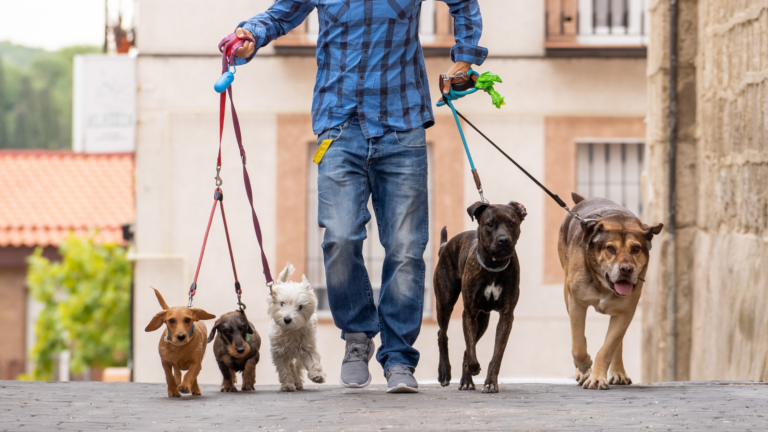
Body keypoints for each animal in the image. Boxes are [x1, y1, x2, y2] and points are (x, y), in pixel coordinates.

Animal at [436, 201, 524, 394]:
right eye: (490, 224)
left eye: (512, 223)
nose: (503, 240)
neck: (494, 266)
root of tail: (445, 245)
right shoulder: (469, 313)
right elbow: (471, 349)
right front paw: (474, 368)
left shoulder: (506, 316)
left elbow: (496, 354)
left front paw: (490, 382)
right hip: (444, 302)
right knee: (442, 334)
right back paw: (445, 373)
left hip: (483, 320)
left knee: (467, 348)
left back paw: (466, 381)